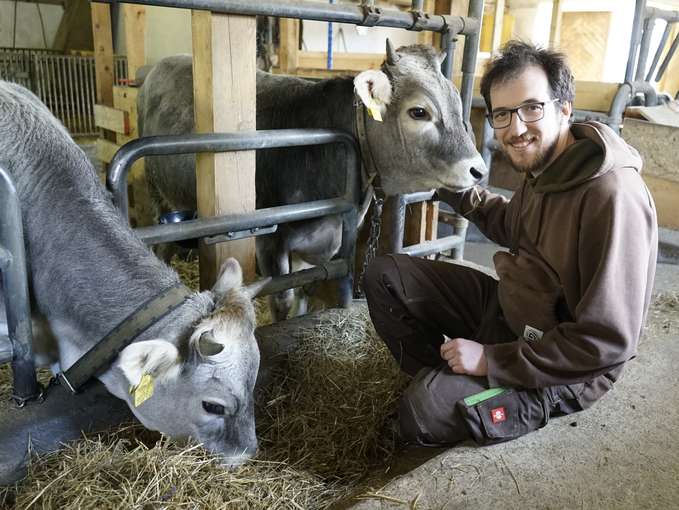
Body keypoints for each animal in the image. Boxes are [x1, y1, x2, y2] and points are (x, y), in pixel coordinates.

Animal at [139, 41, 488, 318]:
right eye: (419, 112)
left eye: (458, 107)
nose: (478, 171)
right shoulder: (270, 241)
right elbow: (282, 298)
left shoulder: (332, 238)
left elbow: (307, 288)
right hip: (158, 195)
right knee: (161, 246)